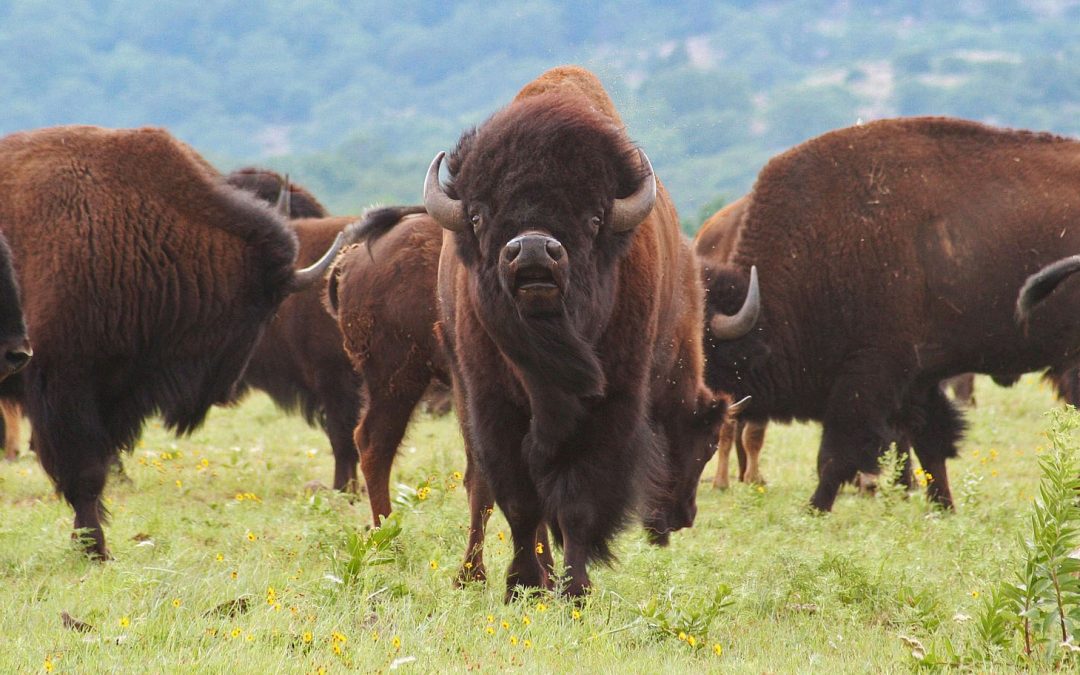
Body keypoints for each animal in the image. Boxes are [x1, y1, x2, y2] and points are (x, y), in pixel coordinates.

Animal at [0, 126, 343, 557]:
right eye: (263, 310)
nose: (226, 391)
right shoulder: (64, 385)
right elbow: (84, 473)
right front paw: (95, 549)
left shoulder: (112, 391)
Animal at [703, 117, 1080, 513]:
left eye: (705, 350)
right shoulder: (916, 382)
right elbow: (929, 444)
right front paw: (941, 507)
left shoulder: (869, 375)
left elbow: (836, 454)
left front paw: (814, 509)